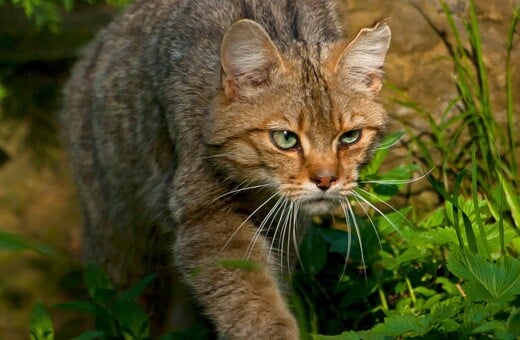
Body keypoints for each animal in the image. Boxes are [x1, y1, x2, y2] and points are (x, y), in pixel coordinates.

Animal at [59, 0, 390, 338]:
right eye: (285, 139)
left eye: (350, 137)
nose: (326, 179)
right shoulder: (206, 215)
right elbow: (249, 297)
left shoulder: (283, 224)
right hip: (122, 243)